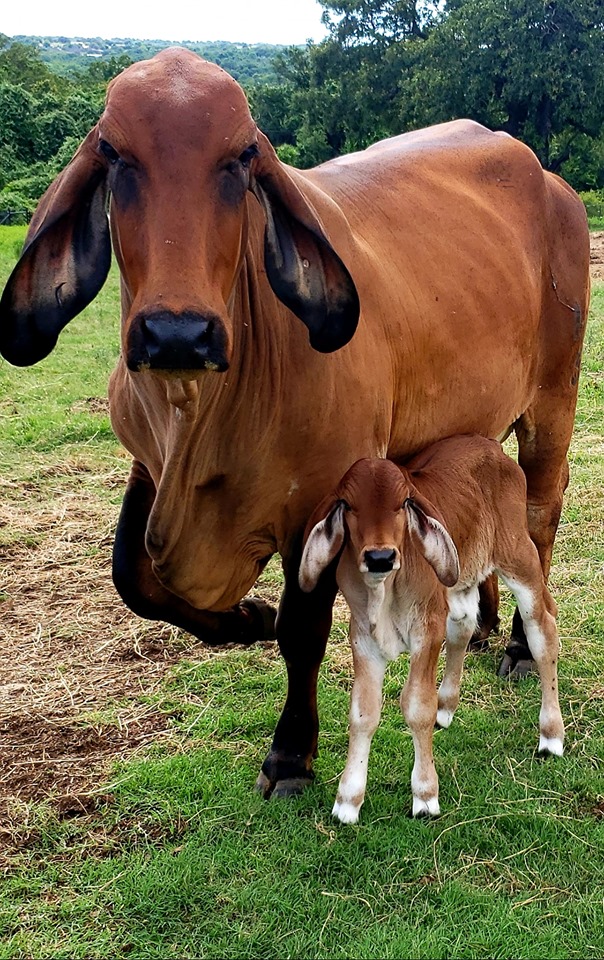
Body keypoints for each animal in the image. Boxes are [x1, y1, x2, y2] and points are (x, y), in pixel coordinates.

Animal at [300, 434, 564, 816]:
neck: (386, 590)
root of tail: (495, 450)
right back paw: (447, 708)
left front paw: (425, 795)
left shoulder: (427, 630)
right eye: (347, 504)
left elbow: (416, 706)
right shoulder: (362, 638)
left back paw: (551, 735)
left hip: (520, 559)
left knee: (543, 631)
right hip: (459, 576)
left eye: (403, 503)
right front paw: (347, 801)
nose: (380, 557)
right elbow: (363, 713)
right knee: (465, 624)